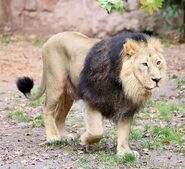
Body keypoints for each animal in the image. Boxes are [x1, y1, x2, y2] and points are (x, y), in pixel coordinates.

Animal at [15, 31, 166, 156]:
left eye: (158, 62)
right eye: (144, 64)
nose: (158, 79)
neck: (125, 84)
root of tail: (50, 39)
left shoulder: (126, 107)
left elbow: (124, 132)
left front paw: (125, 152)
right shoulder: (92, 99)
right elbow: (97, 131)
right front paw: (84, 140)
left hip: (68, 95)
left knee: (59, 116)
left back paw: (64, 136)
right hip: (56, 85)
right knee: (48, 110)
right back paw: (53, 137)